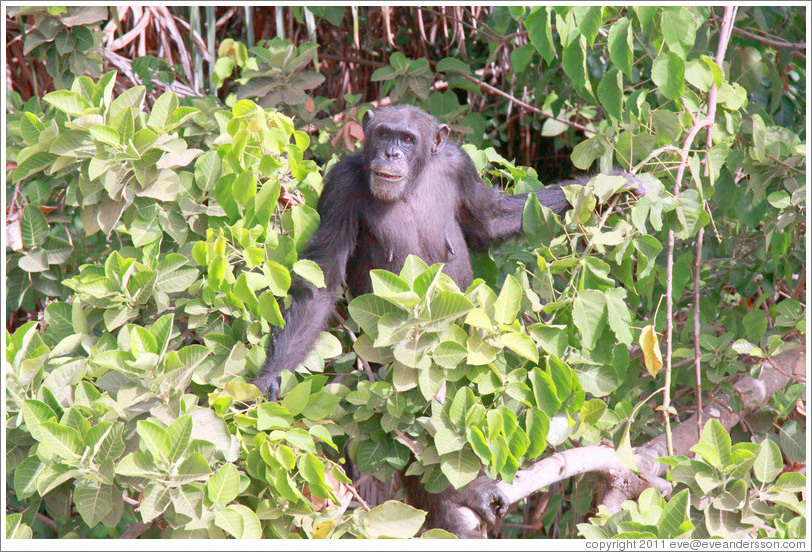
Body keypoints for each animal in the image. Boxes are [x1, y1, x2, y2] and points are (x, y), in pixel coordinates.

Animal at [254, 105, 640, 536]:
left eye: (407, 139)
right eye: (383, 133)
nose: (390, 153)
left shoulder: (460, 166)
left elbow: (493, 218)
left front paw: (614, 185)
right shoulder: (340, 185)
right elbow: (321, 280)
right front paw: (273, 375)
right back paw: (457, 504)